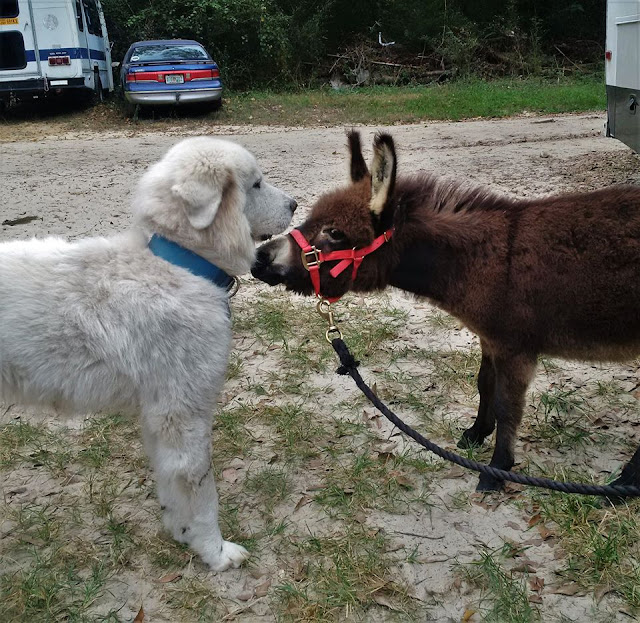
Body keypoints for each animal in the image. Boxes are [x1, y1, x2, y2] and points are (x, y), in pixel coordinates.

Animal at [0, 136, 297, 570]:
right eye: (256, 184)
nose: (295, 204)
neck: (179, 266)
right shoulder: (183, 414)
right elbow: (202, 492)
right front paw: (215, 552)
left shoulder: (160, 416)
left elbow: (170, 484)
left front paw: (183, 536)